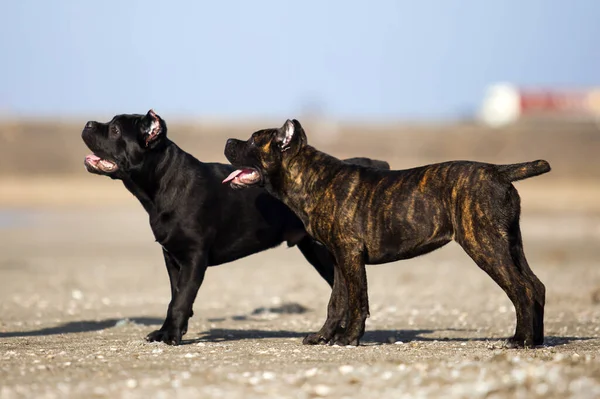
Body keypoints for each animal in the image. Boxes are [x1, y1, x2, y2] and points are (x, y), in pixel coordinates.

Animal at [81, 111, 390, 346]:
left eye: (115, 129)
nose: (88, 123)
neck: (161, 186)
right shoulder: (172, 258)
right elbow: (175, 296)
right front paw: (169, 331)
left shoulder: (194, 257)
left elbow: (181, 298)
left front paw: (170, 336)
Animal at [223, 119, 552, 346]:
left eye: (253, 141)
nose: (227, 140)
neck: (311, 178)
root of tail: (497, 171)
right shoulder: (339, 259)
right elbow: (336, 302)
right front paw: (322, 337)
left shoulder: (350, 256)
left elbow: (358, 301)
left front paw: (348, 339)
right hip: (510, 243)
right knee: (536, 286)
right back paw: (535, 341)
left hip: (484, 244)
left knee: (520, 288)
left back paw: (519, 340)